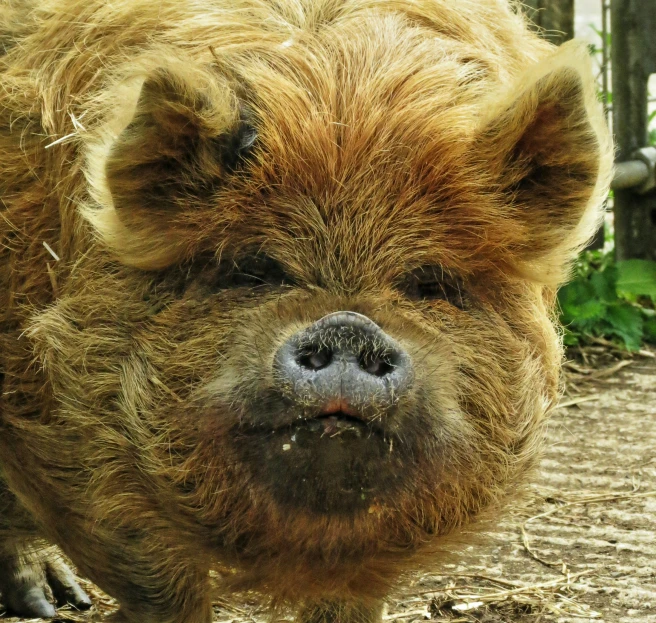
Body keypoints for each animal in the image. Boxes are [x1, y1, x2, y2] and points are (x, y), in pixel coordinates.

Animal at [0, 0, 612, 620]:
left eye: (430, 283)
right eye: (254, 270)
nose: (347, 326)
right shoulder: (63, 437)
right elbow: (160, 582)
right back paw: (51, 602)